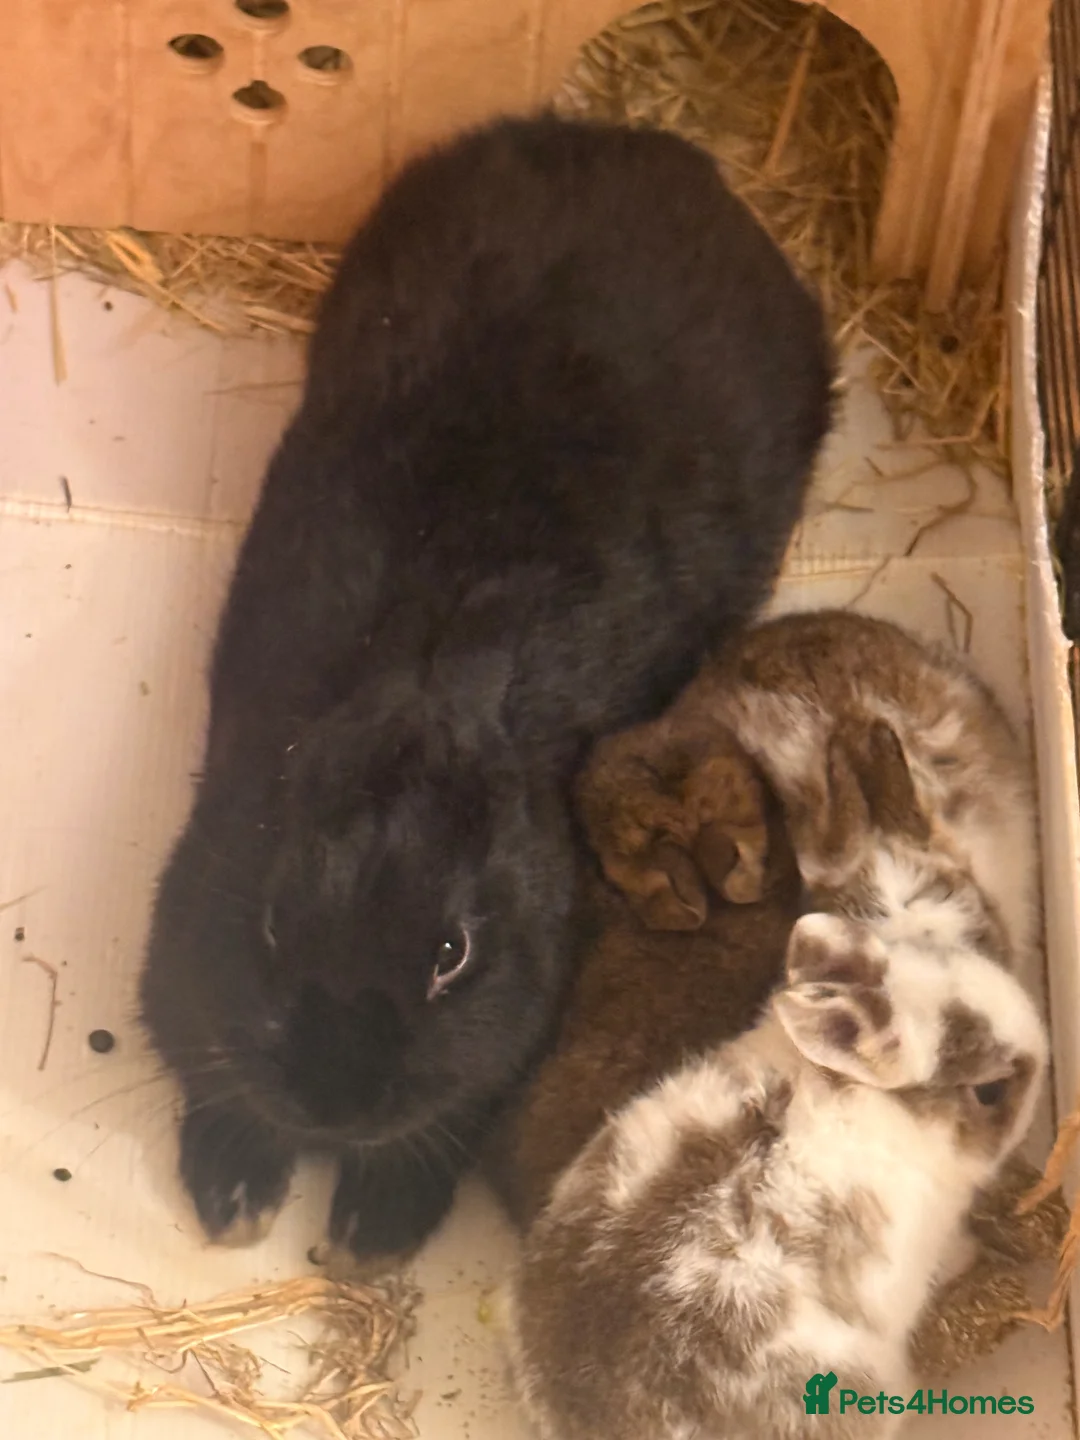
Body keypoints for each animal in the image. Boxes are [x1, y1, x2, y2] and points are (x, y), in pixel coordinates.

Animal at [138, 113, 835, 1265]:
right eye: (273, 925)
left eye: (451, 954)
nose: (335, 1099)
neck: (422, 679)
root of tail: (645, 150)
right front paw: (236, 1189)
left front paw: (374, 1224)